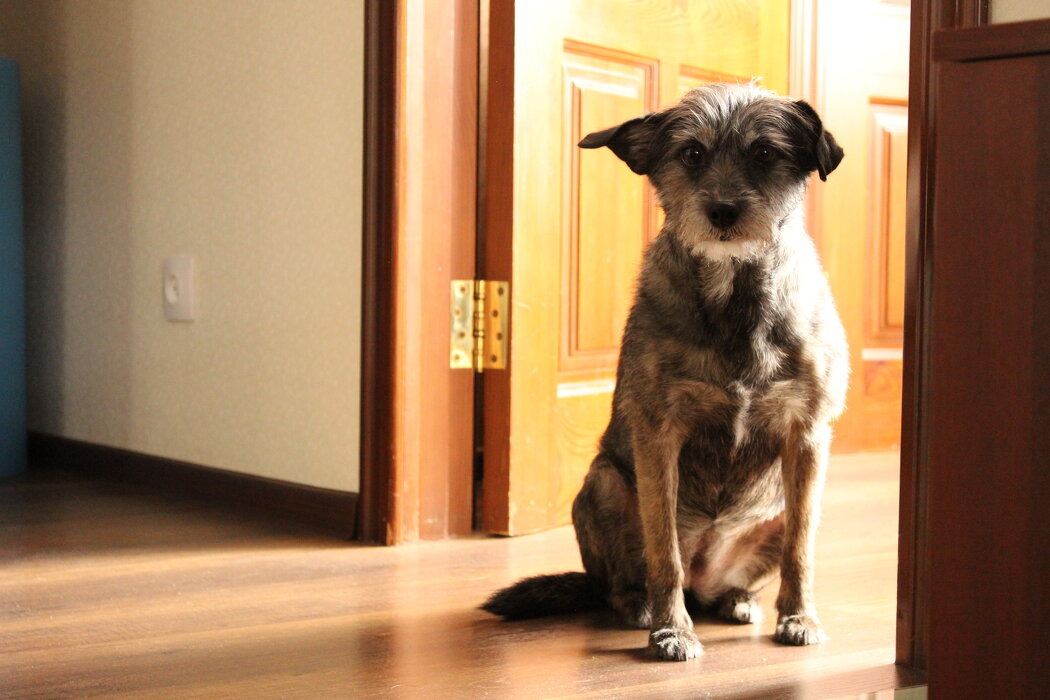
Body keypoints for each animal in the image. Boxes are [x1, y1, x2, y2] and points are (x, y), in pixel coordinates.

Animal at [482, 83, 847, 661]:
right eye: (691, 153)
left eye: (766, 152)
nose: (722, 211)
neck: (732, 296)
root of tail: (707, 580)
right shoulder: (659, 435)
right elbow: (665, 553)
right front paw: (671, 630)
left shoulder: (806, 436)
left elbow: (800, 550)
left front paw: (799, 618)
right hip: (606, 484)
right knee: (621, 583)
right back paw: (641, 606)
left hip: (782, 505)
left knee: (751, 567)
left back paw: (738, 599)